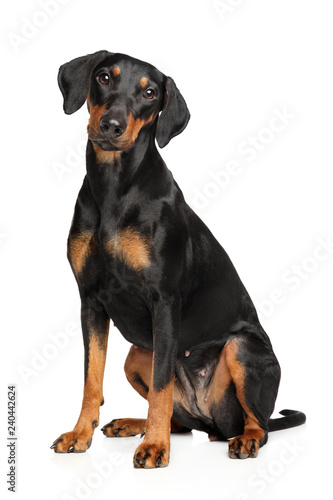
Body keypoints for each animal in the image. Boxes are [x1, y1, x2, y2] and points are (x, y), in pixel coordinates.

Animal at [50, 48, 304, 466]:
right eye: (104, 77)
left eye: (150, 92)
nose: (111, 125)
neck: (114, 187)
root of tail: (212, 420)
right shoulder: (90, 301)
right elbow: (92, 379)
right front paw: (80, 435)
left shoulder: (165, 301)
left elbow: (160, 387)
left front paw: (155, 448)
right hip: (138, 353)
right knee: (179, 418)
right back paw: (133, 424)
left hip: (239, 348)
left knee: (258, 424)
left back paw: (243, 440)